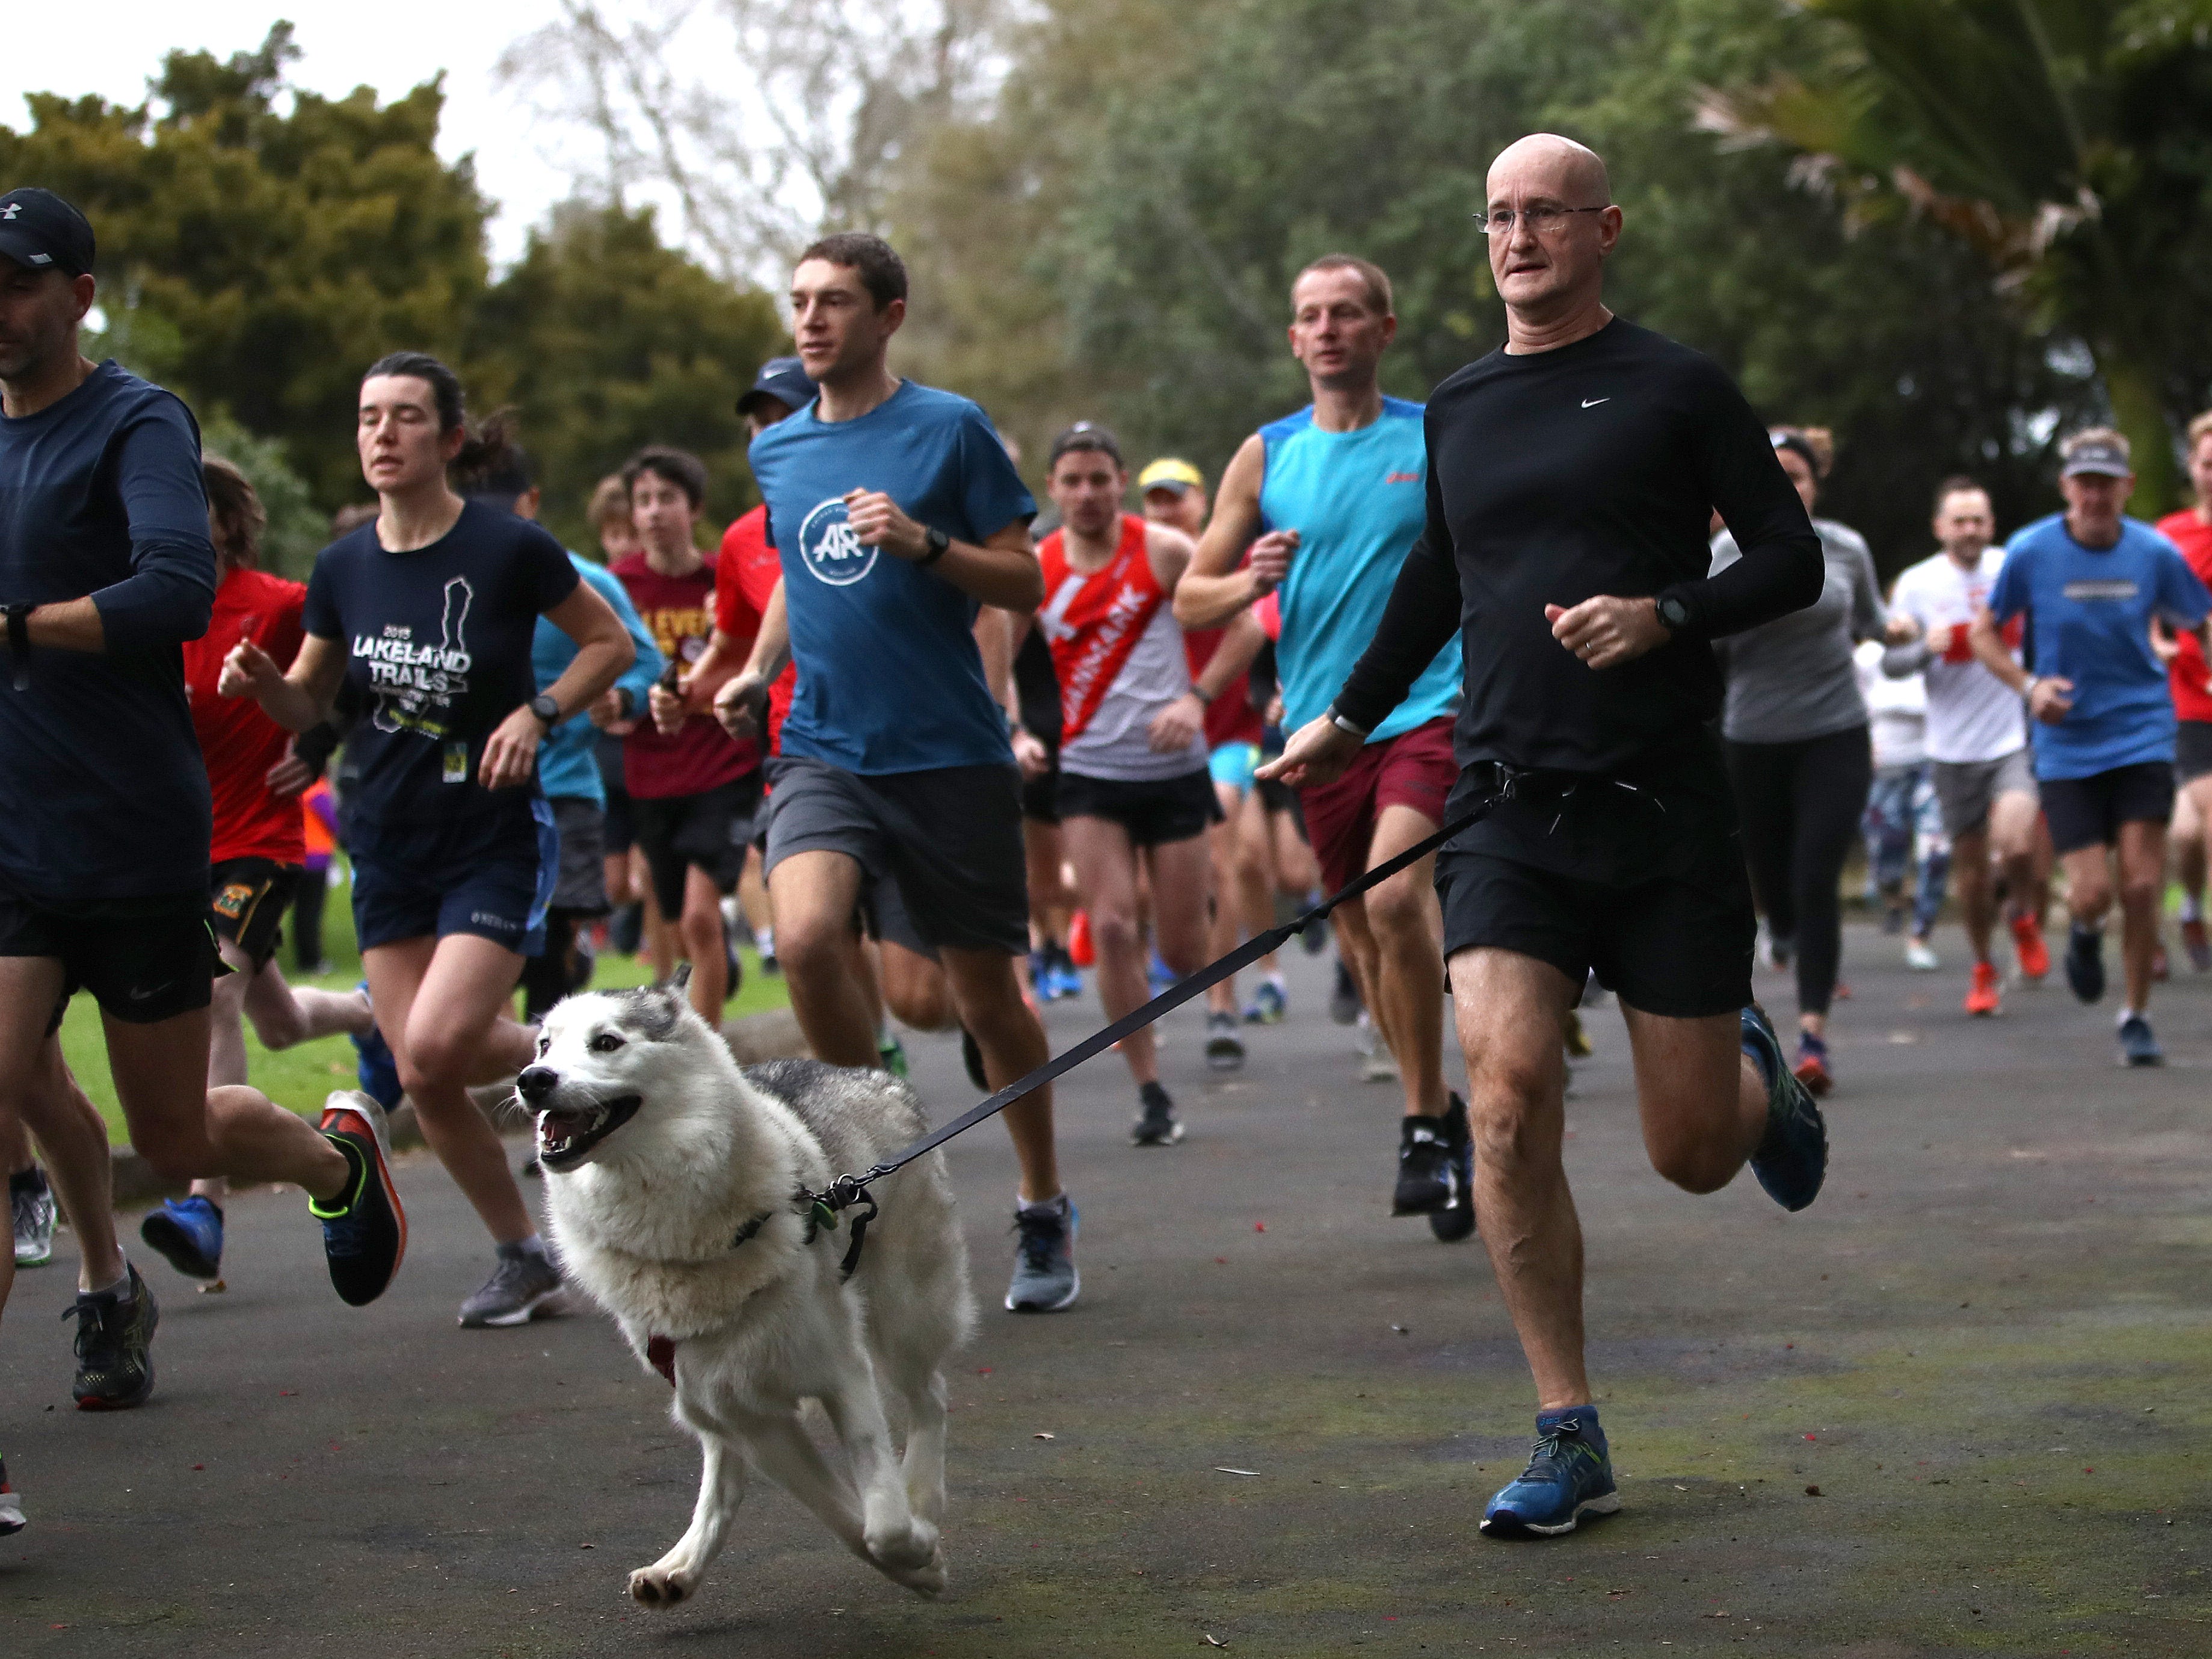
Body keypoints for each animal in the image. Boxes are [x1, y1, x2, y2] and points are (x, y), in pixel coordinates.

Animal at [526, 973, 978, 1610]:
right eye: (543, 1044)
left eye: (607, 1042)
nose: (531, 1079)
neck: (683, 1233)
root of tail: (870, 1075)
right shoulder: (748, 1414)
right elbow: (844, 1520)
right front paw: (917, 1562)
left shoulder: (842, 1371)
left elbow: (882, 1523)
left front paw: (918, 1549)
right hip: (704, 1390)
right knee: (723, 1467)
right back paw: (680, 1565)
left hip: (906, 1315)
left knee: (929, 1396)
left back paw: (923, 1496)